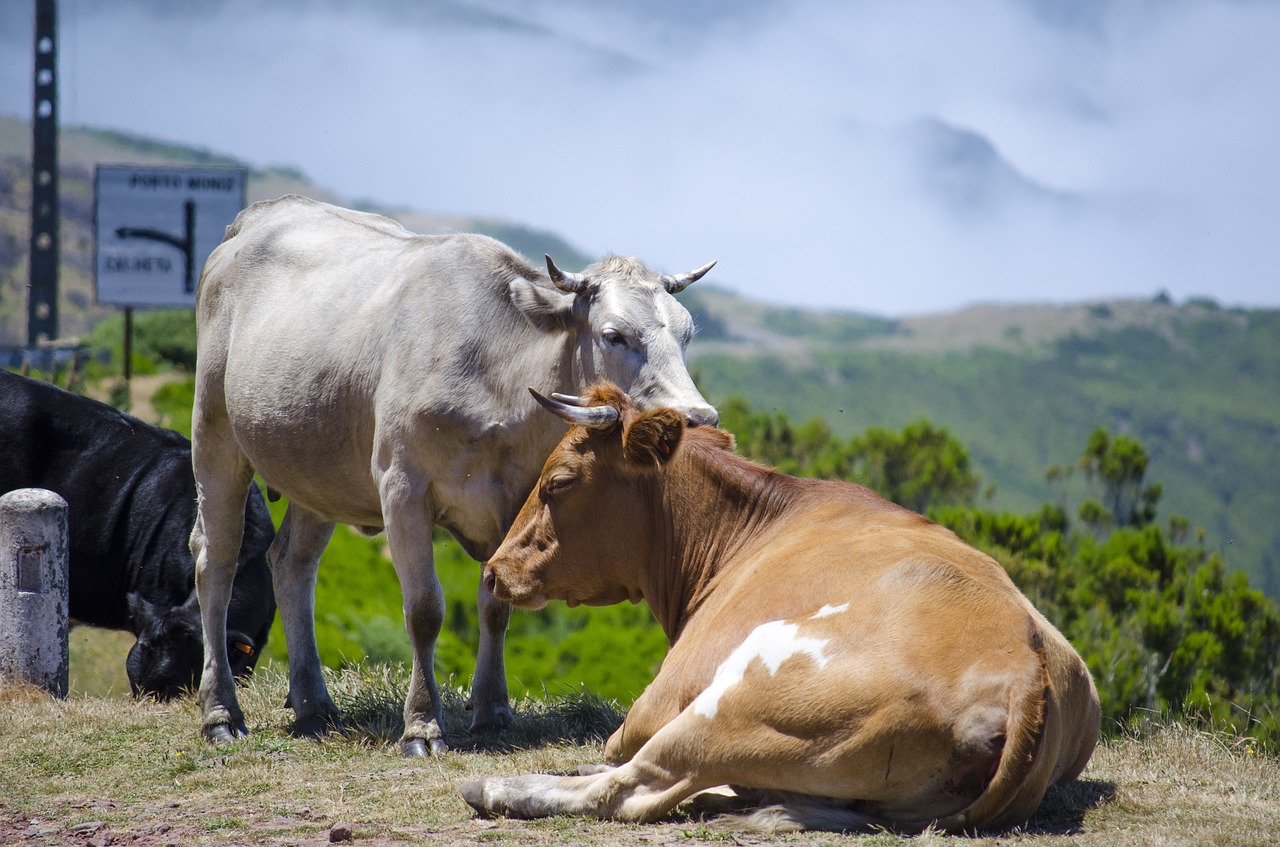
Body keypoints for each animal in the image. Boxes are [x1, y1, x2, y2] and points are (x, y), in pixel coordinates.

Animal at [186, 197, 721, 757]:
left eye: (686, 334)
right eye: (614, 335)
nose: (699, 418)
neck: (499, 381)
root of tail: (258, 218)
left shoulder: (515, 501)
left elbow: (496, 604)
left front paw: (492, 711)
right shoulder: (402, 487)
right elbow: (424, 609)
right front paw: (422, 725)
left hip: (316, 473)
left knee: (292, 565)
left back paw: (313, 706)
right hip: (215, 437)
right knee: (216, 564)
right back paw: (220, 712)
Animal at [463, 386, 1100, 834]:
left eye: (558, 481)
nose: (494, 570)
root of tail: (1025, 670)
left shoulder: (656, 703)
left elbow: (617, 750)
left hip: (740, 695)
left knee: (631, 788)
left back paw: (493, 787)